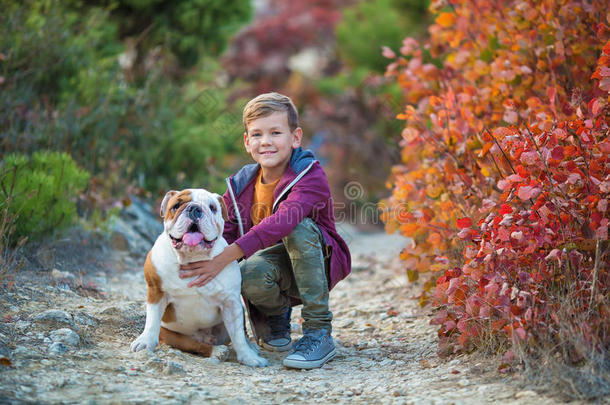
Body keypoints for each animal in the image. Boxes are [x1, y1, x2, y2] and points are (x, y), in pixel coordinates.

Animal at [129, 189, 268, 366]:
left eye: (212, 207)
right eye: (176, 206)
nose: (194, 209)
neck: (193, 258)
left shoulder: (231, 302)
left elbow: (238, 335)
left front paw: (248, 357)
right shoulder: (156, 292)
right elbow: (152, 321)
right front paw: (145, 342)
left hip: (239, 311)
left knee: (239, 334)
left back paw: (250, 346)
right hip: (170, 335)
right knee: (196, 345)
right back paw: (216, 351)